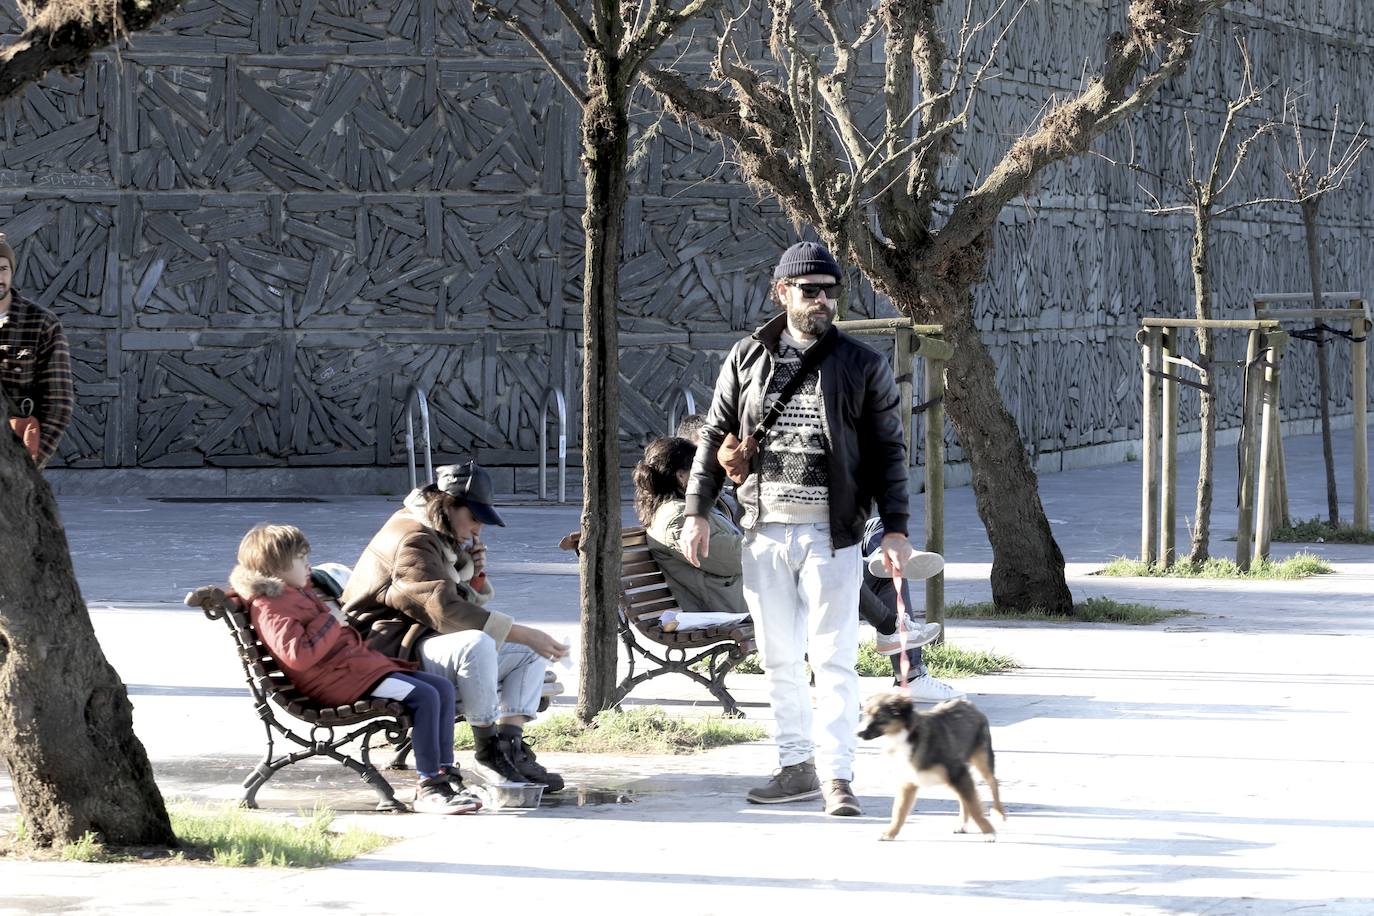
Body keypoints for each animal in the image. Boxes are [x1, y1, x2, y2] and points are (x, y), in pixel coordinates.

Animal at [851, 692, 1005, 840]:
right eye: (864, 714)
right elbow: (899, 811)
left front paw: (989, 832)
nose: (857, 733)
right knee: (963, 797)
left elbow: (975, 808)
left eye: (879, 716)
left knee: (992, 782)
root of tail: (967, 703)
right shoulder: (908, 781)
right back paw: (962, 823)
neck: (905, 736)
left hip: (981, 758)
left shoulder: (958, 772)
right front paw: (890, 832)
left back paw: (999, 812)